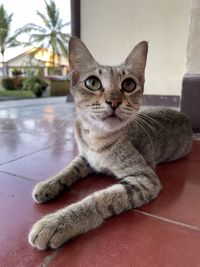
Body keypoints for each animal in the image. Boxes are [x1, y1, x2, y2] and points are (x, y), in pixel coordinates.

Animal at [28, 36, 192, 250]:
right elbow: (69, 169)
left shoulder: (145, 179)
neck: (95, 138)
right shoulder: (85, 158)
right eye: (92, 83)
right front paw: (50, 184)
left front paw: (57, 222)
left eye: (129, 84)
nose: (113, 101)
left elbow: (99, 198)